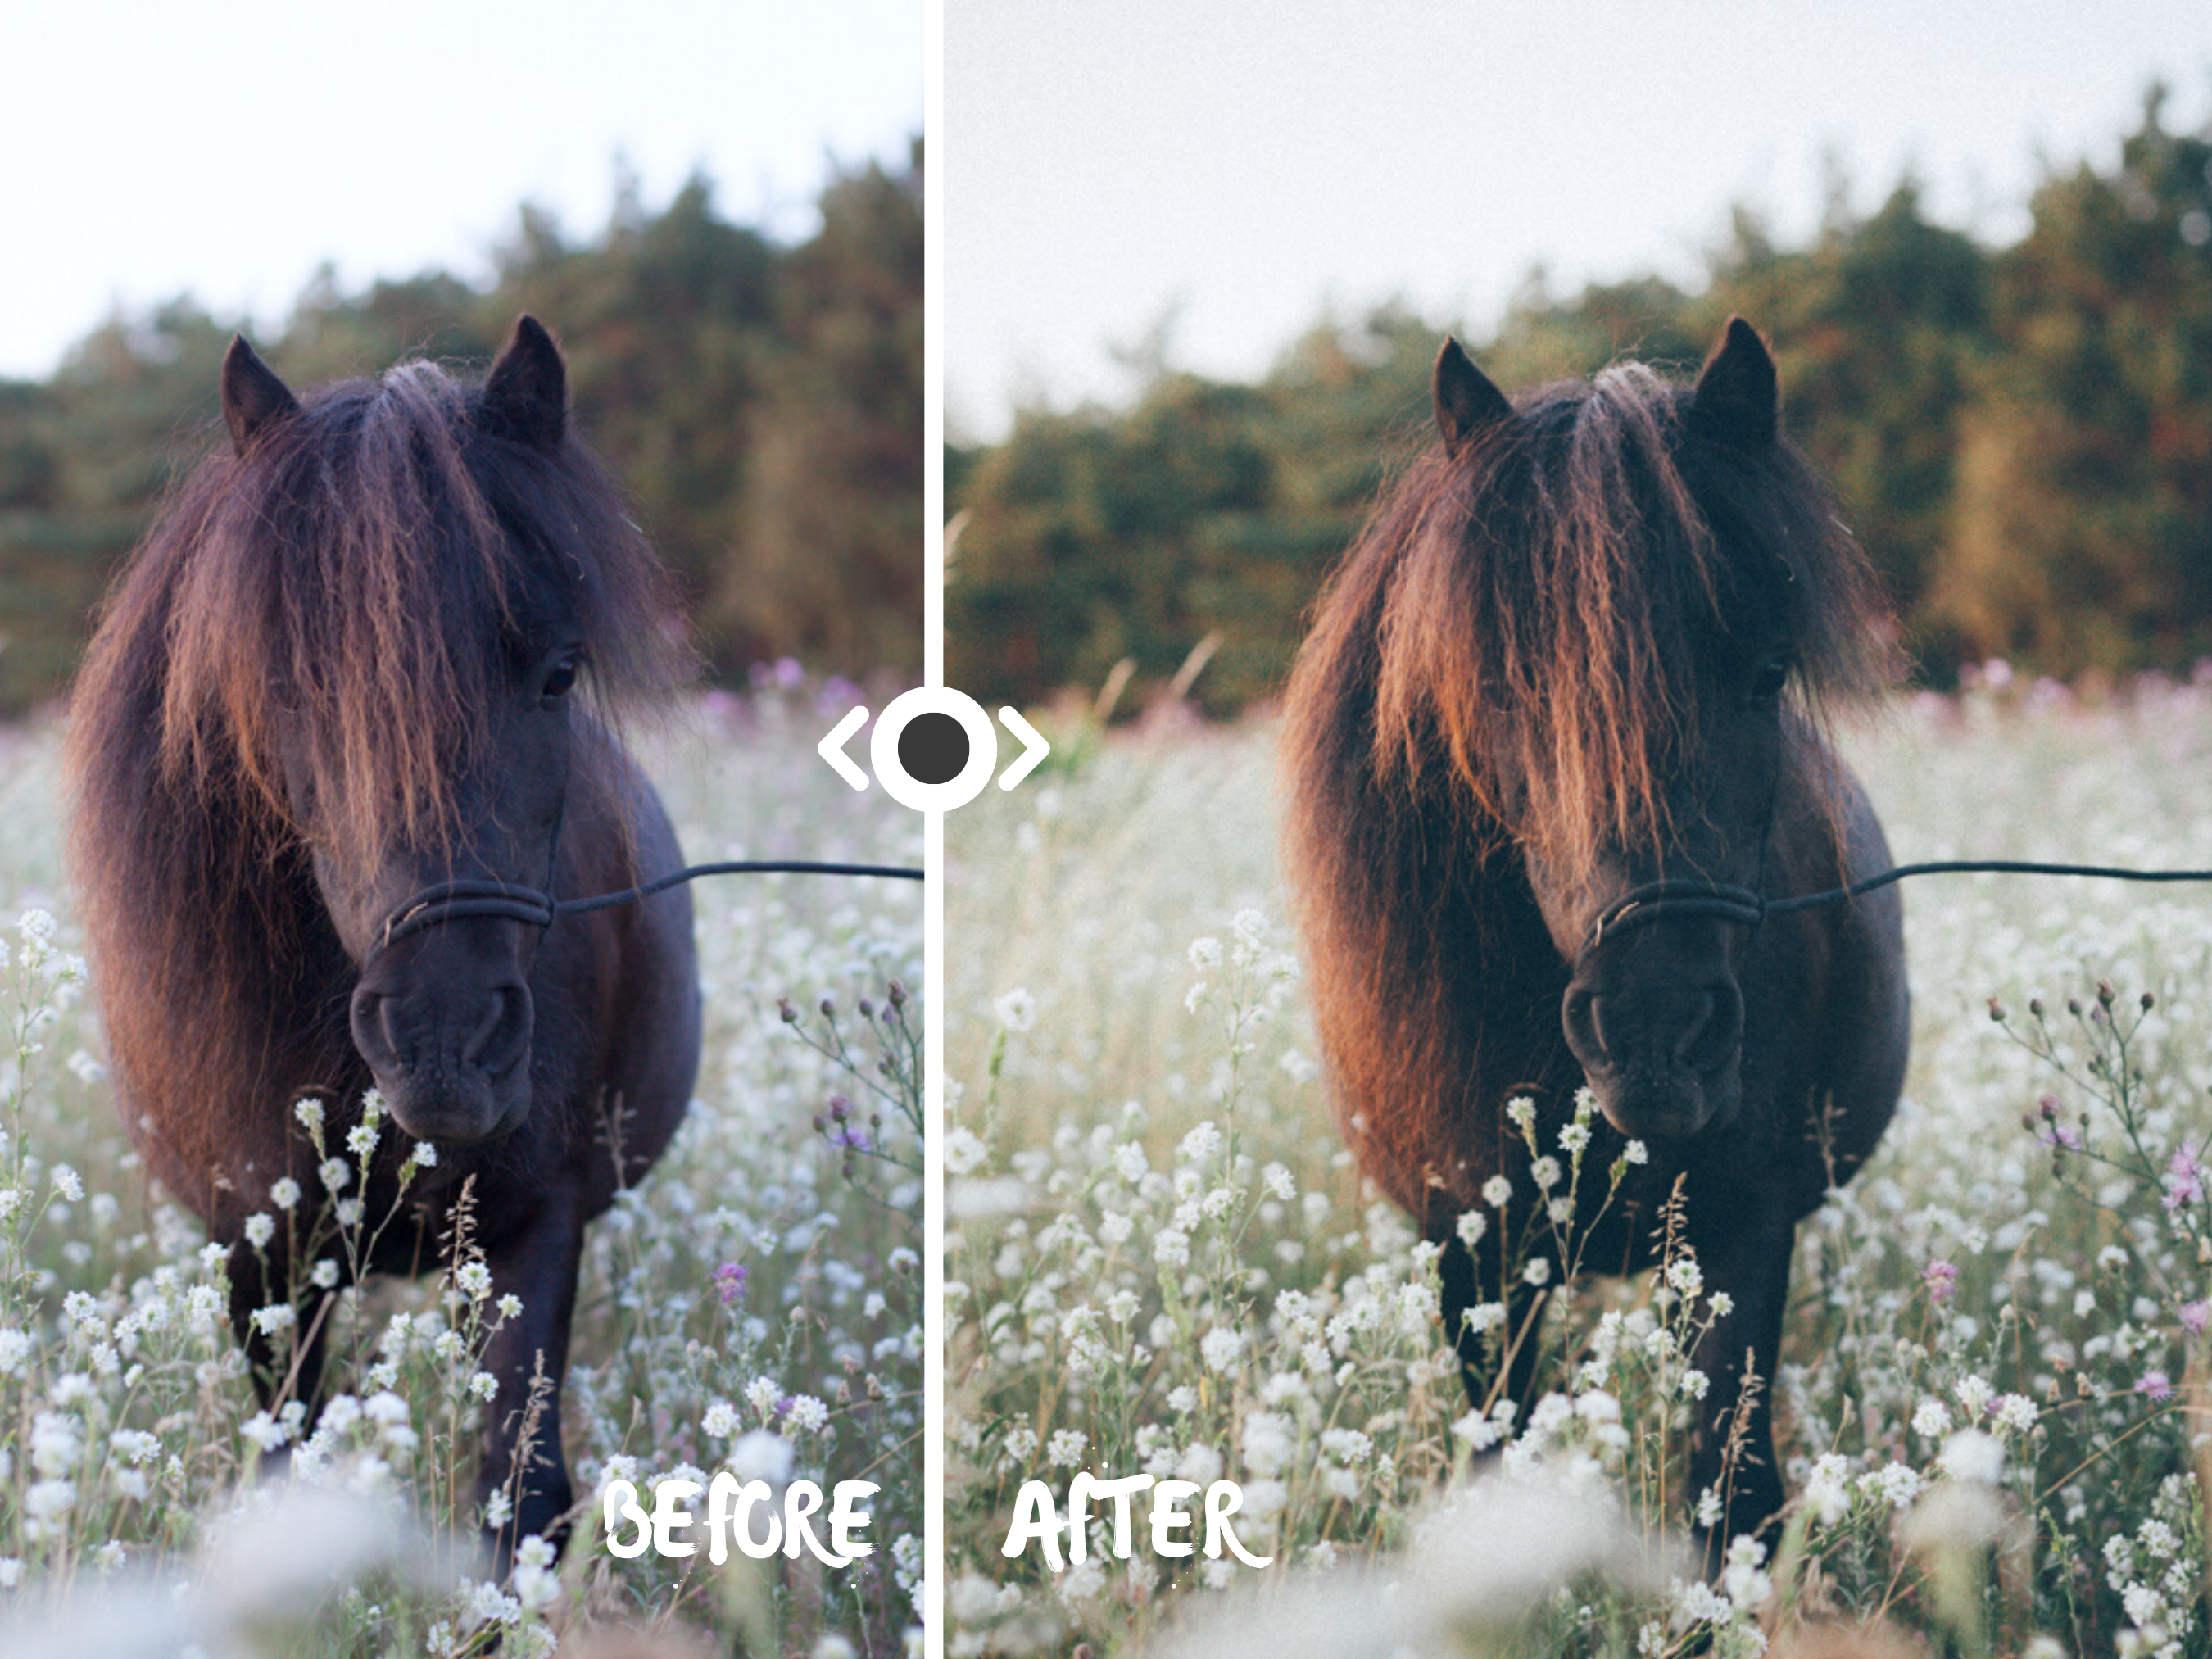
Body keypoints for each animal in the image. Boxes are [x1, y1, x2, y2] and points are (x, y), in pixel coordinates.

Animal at [63, 316, 702, 1562]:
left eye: (559, 673)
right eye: (284, 684)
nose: (446, 1041)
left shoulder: (535, 1227)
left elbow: (522, 1501)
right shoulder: (259, 1251)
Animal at [1280, 318, 1911, 1554]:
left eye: (1768, 671)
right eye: (1496, 685)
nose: (1658, 1035)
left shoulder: (1743, 1231)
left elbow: (1734, 1498)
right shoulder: (1469, 1249)